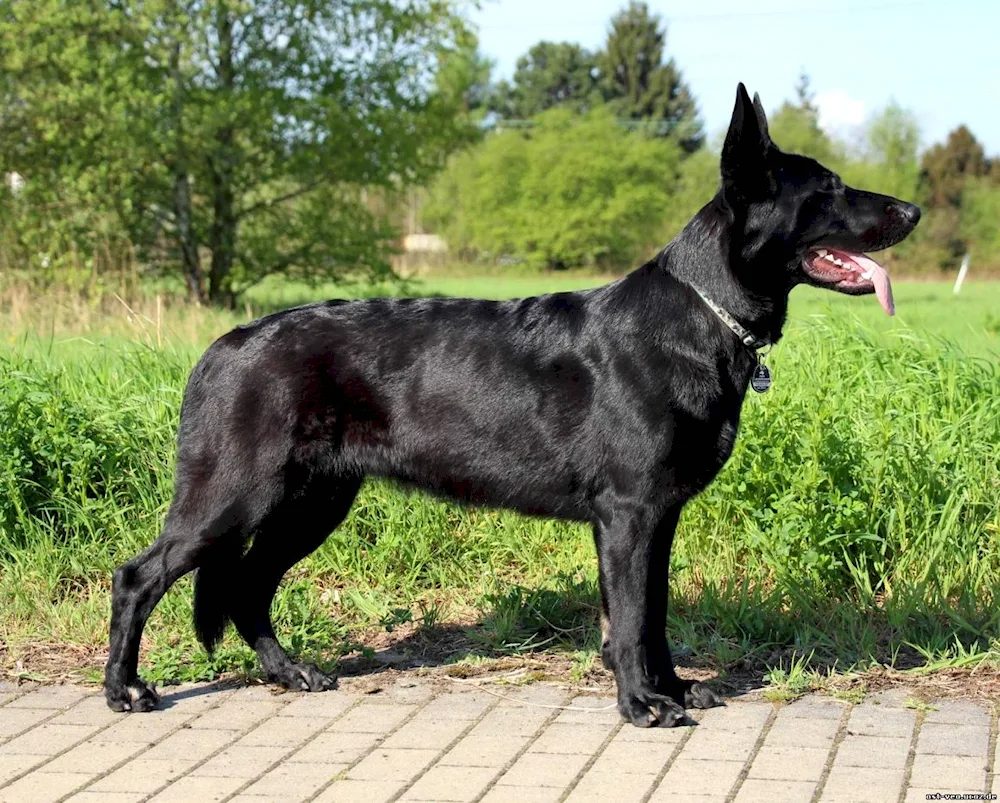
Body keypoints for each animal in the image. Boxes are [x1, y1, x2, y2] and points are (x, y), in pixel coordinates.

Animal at [105, 85, 916, 724]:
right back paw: (126, 690)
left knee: (247, 586)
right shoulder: (629, 513)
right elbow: (630, 620)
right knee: (140, 576)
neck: (700, 314)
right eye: (828, 188)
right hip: (235, 497)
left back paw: (289, 673)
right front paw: (642, 704)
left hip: (311, 503)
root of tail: (224, 343)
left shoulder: (657, 517)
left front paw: (675, 687)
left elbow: (652, 614)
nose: (911, 208)